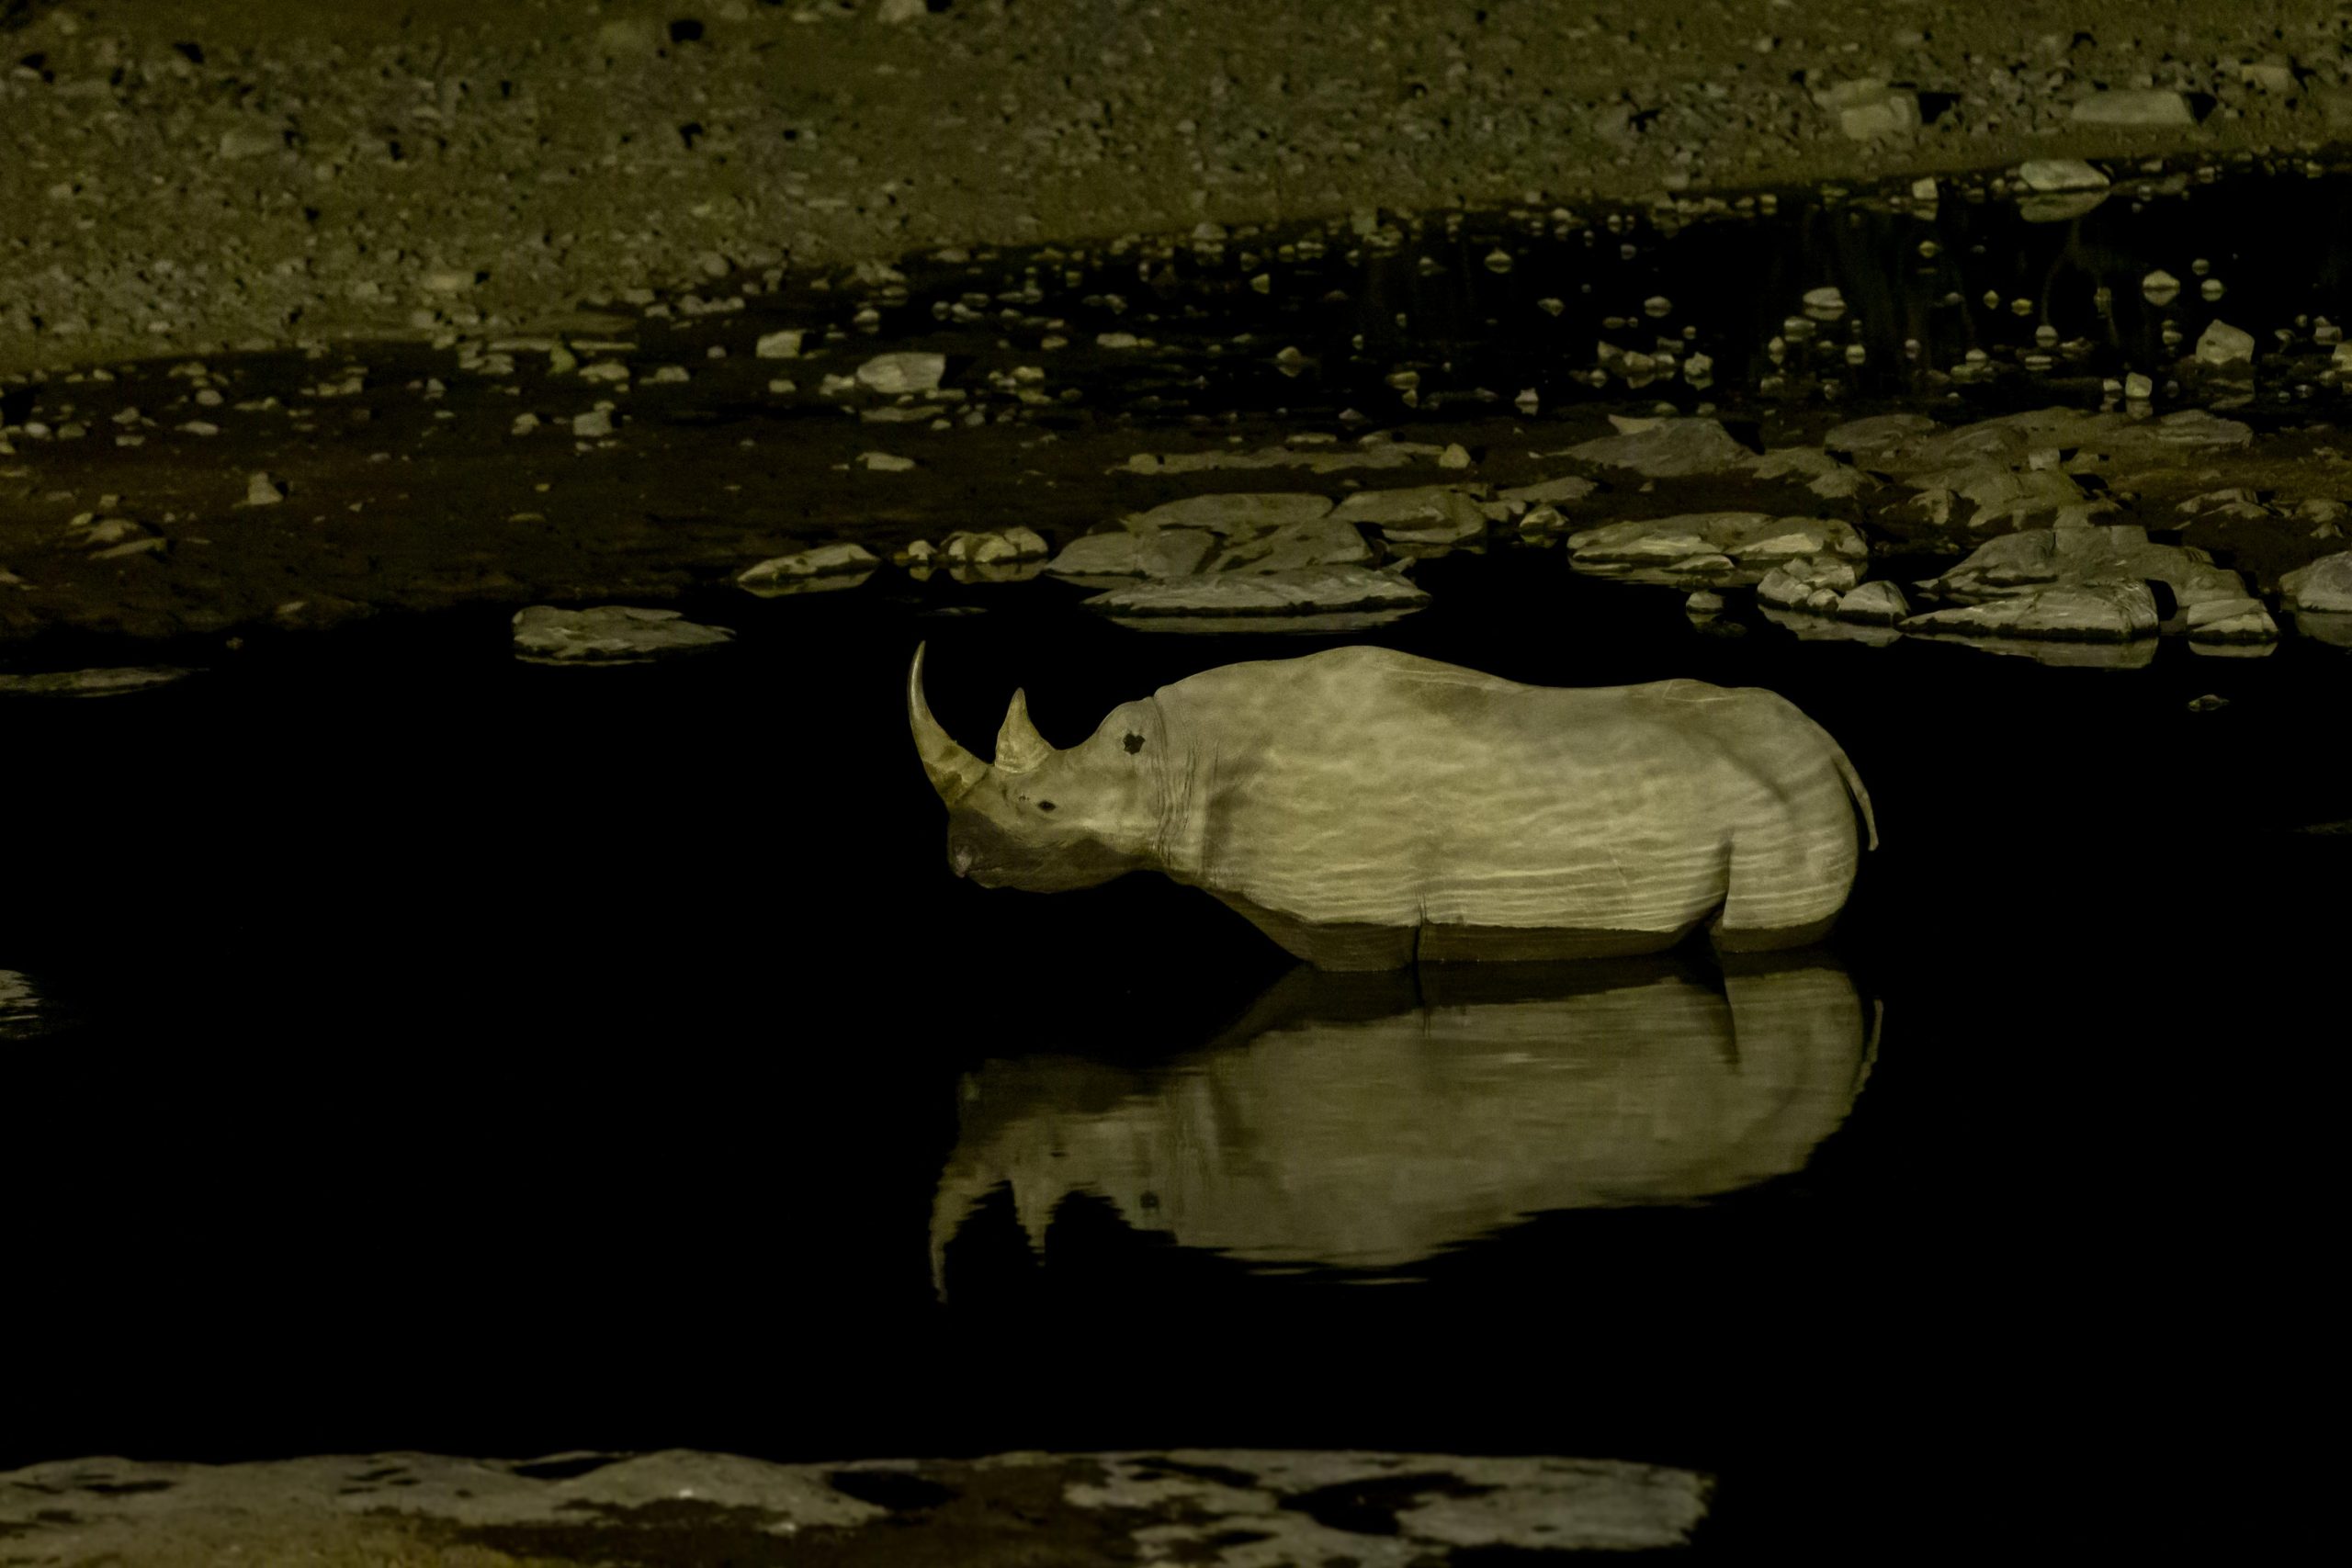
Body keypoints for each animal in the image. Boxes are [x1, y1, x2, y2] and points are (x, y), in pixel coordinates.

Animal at [909, 642, 1875, 970]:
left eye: (1042, 804)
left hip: (1783, 807)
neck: (1176, 764)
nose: (957, 858)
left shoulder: (1347, 914)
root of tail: (1831, 744)